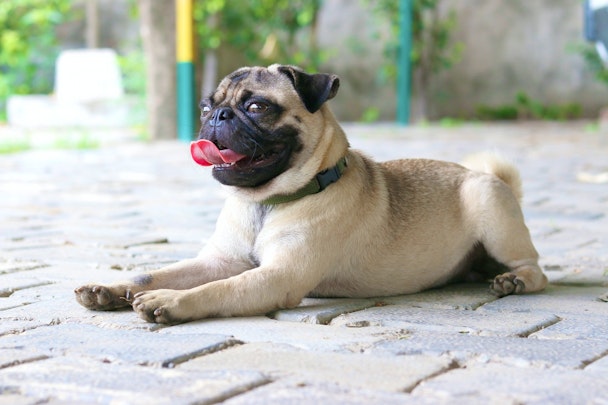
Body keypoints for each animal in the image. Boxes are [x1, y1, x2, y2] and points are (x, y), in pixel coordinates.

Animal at [73, 63, 548, 324]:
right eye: (207, 107)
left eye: (257, 107)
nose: (217, 117)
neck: (264, 203)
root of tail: (478, 175)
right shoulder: (217, 261)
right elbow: (151, 274)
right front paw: (113, 288)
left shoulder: (277, 276)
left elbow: (220, 290)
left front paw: (172, 301)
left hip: (490, 206)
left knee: (536, 270)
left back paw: (512, 281)